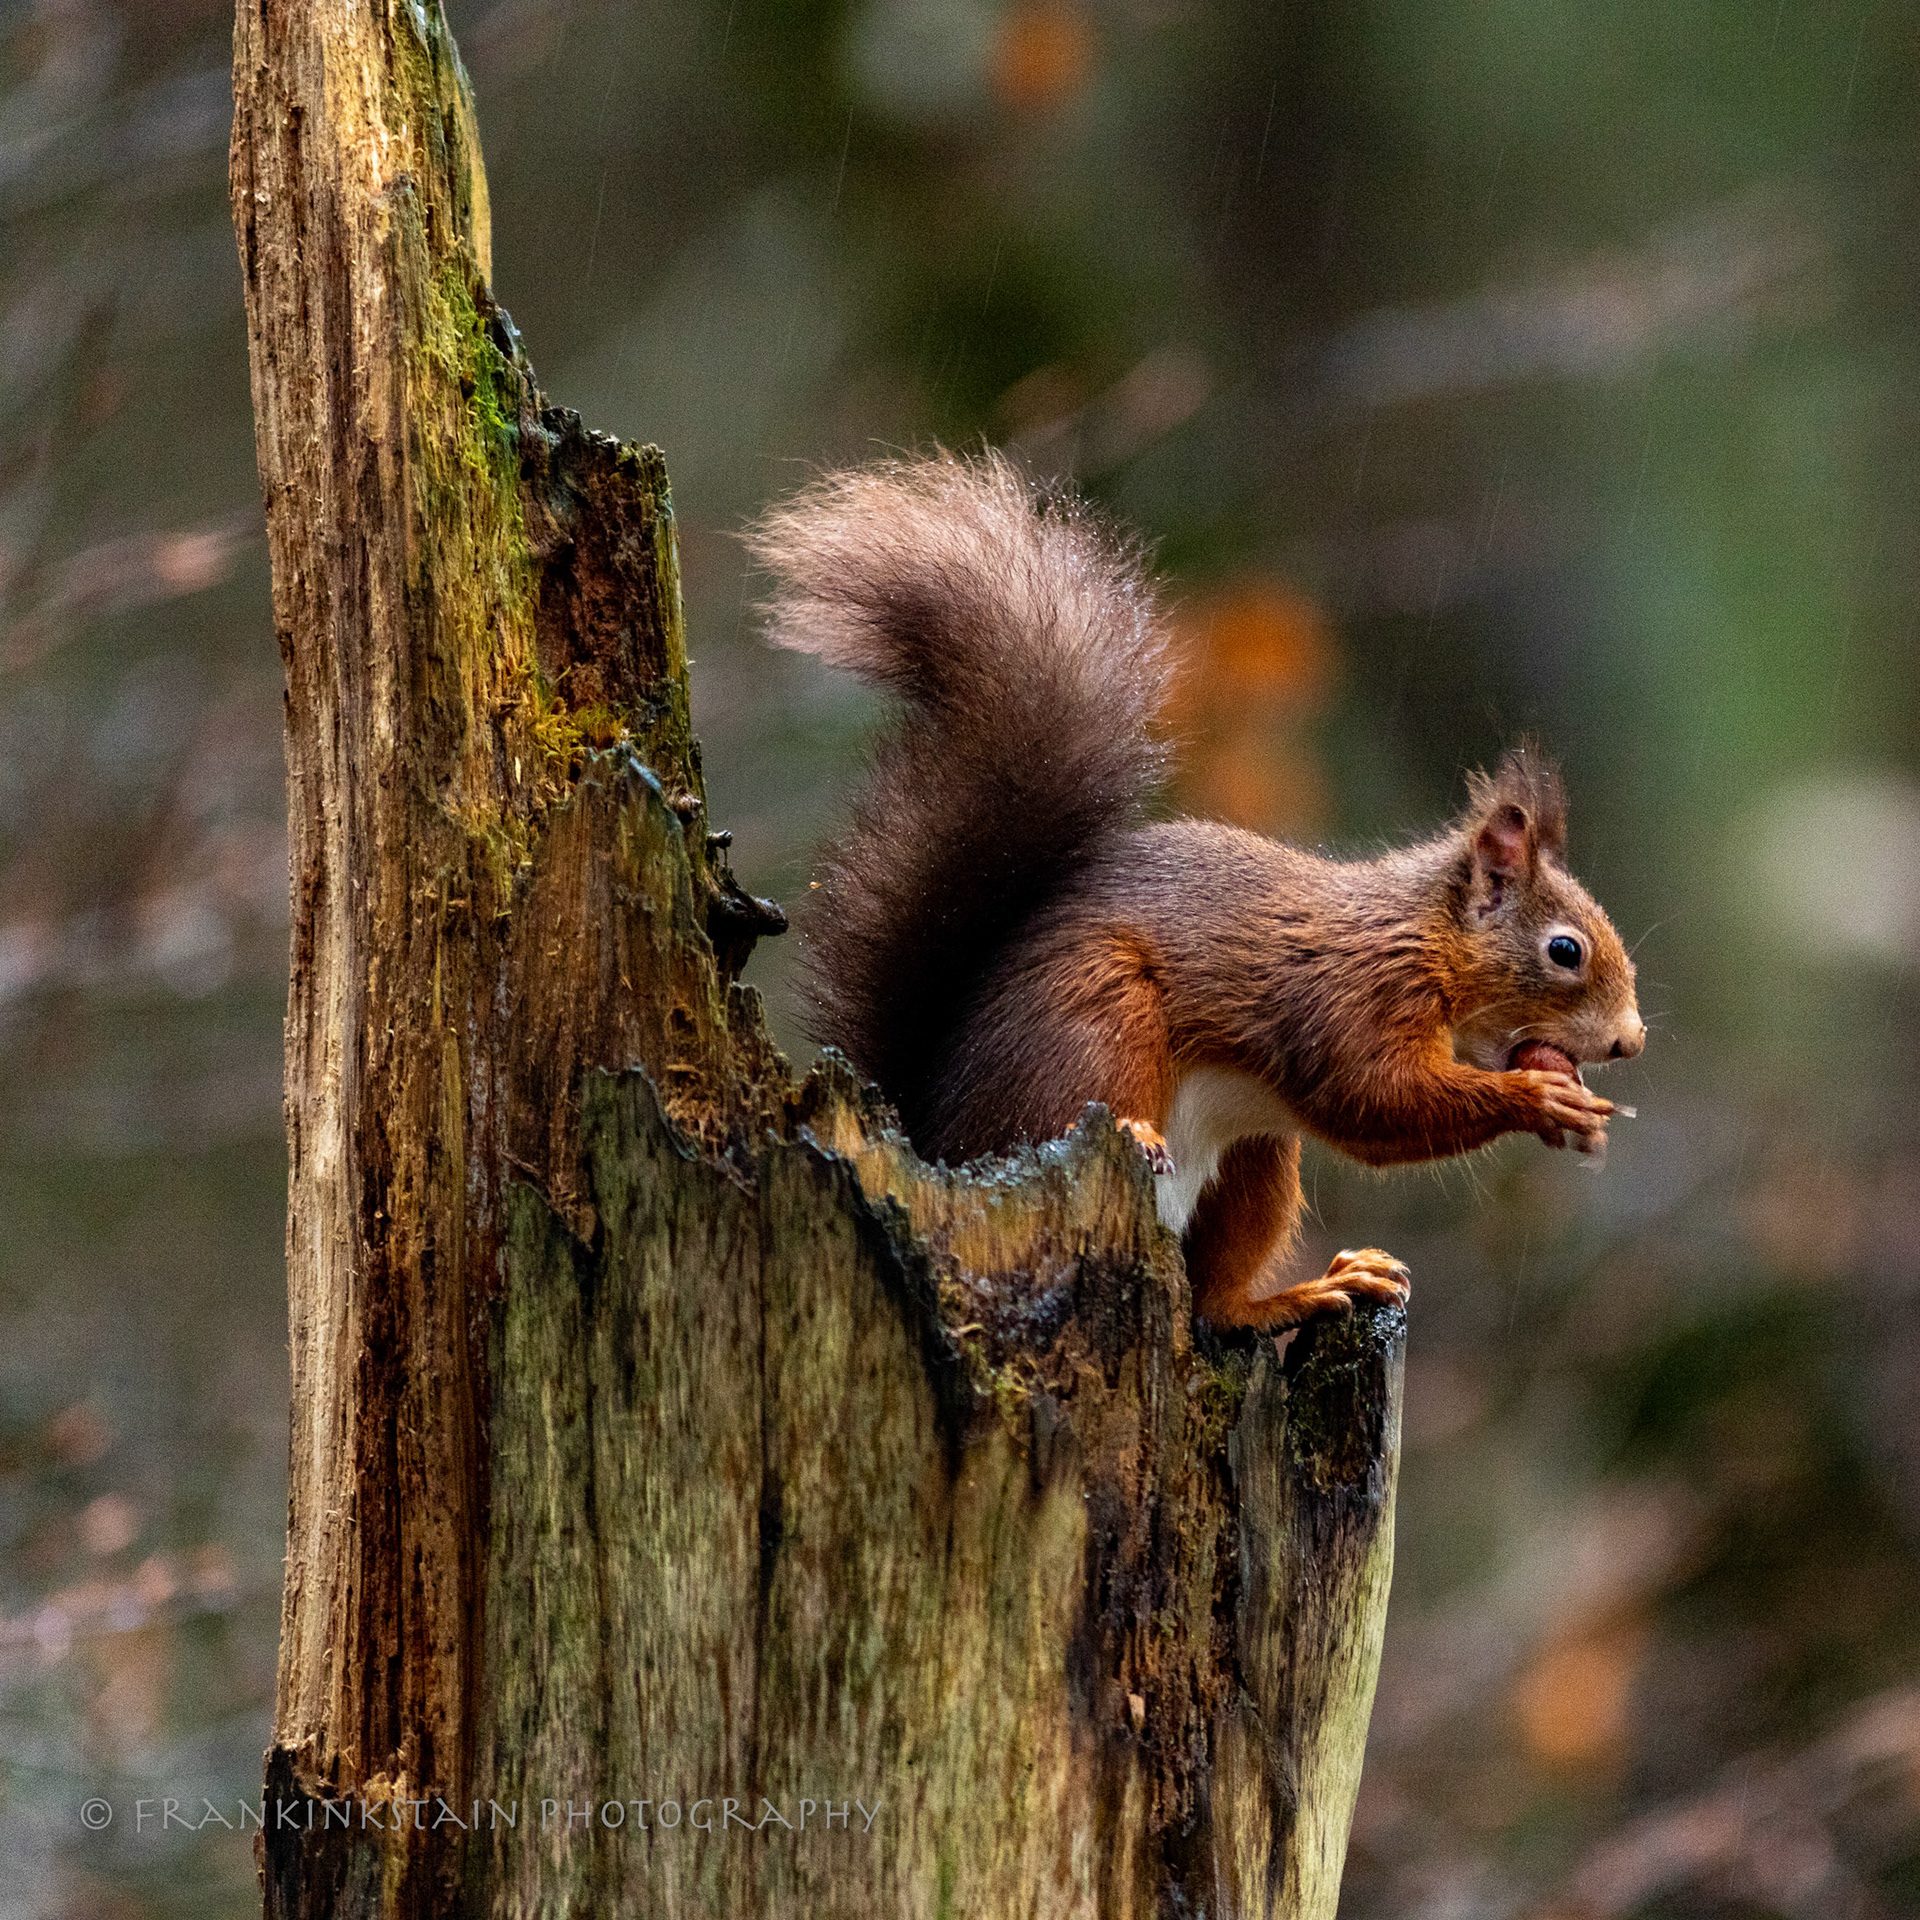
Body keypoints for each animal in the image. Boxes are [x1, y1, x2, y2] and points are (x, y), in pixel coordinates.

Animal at [749, 450, 1645, 1332]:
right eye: (1564, 951)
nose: (1630, 1041)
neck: (1419, 934)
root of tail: (938, 1132)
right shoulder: (1355, 997)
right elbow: (1373, 1101)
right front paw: (1537, 1098)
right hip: (1093, 1023)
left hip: (1254, 1159)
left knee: (1215, 1302)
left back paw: (1306, 1291)